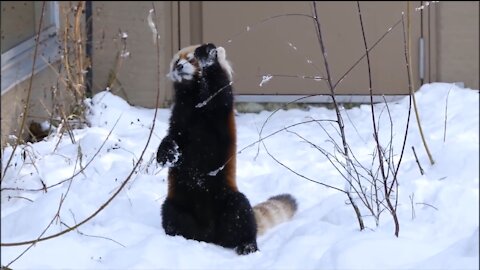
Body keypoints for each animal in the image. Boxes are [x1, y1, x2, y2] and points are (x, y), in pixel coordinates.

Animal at [158, 42, 296, 255]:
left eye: (191, 59)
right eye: (176, 61)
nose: (179, 66)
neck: (192, 97)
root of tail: (209, 235)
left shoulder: (219, 106)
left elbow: (217, 85)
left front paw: (208, 56)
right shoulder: (179, 118)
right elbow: (172, 138)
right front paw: (166, 153)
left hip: (228, 198)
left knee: (241, 214)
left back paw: (247, 244)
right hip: (178, 202)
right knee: (171, 214)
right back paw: (179, 236)